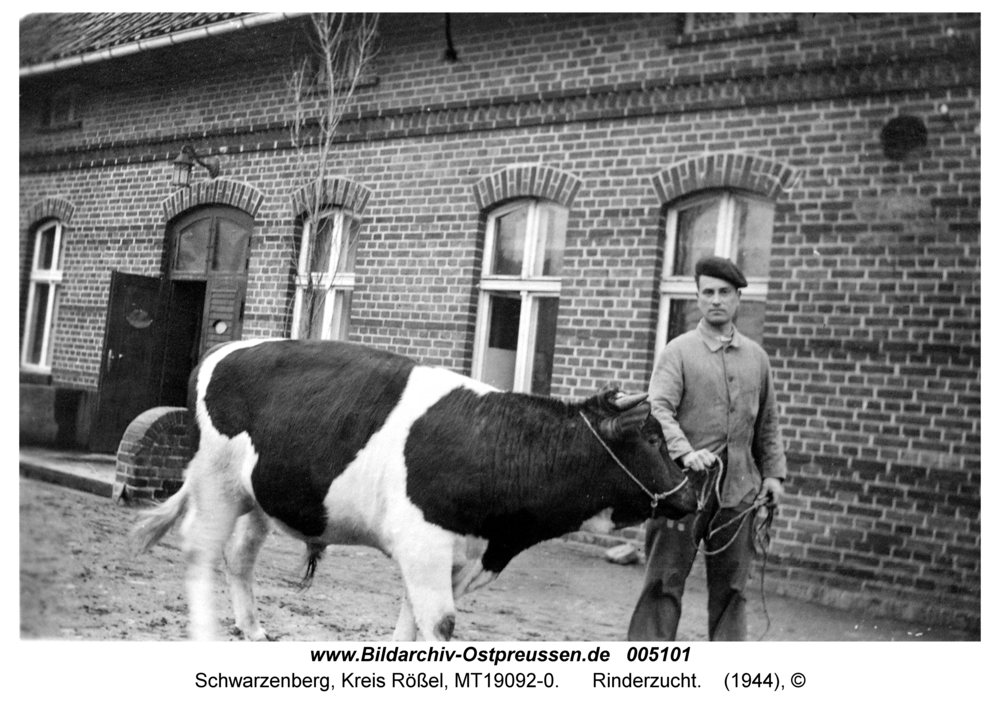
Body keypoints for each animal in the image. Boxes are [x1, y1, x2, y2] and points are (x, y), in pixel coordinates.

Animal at [131, 338, 696, 640]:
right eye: (652, 438)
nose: (691, 495)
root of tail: (225, 348)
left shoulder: (456, 556)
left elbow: (412, 624)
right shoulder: (424, 543)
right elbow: (439, 624)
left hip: (260, 498)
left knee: (239, 557)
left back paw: (252, 629)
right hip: (216, 483)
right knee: (200, 553)